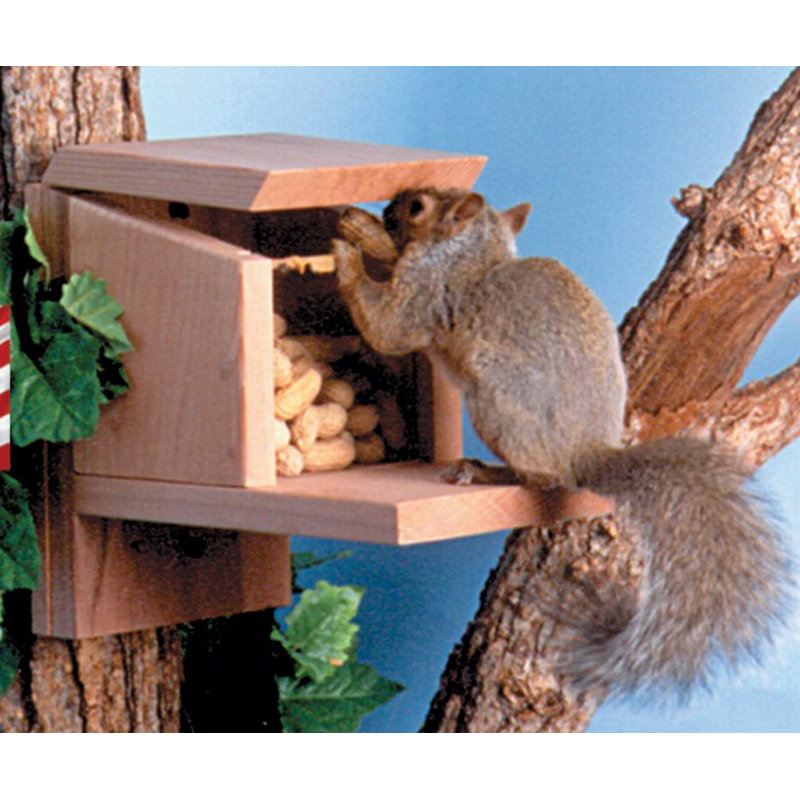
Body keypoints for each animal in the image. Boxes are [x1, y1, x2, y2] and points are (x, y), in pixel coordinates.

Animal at [332, 187, 791, 699]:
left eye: (417, 208)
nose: (389, 208)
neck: (471, 251)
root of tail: (584, 453)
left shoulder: (426, 288)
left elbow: (387, 327)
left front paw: (347, 255)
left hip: (495, 395)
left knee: (542, 478)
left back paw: (484, 470)